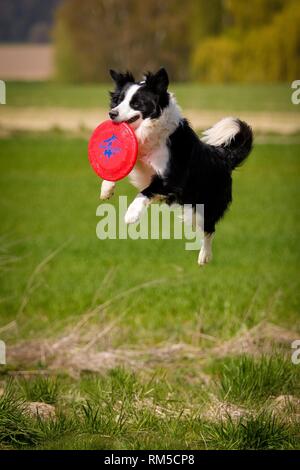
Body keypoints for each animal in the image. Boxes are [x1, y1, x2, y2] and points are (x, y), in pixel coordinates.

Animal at [101, 68, 253, 264]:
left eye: (136, 103)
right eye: (119, 100)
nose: (111, 113)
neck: (151, 131)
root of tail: (224, 157)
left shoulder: (172, 178)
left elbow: (145, 191)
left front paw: (131, 214)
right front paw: (106, 189)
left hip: (202, 206)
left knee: (210, 228)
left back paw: (204, 256)